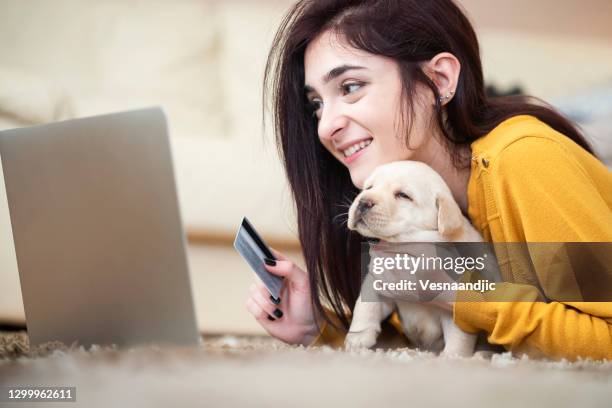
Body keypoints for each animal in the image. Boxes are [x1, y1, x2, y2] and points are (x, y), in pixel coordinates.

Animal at [344, 161, 482, 356]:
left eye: (403, 195)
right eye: (369, 187)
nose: (363, 202)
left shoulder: (454, 306)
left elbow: (459, 335)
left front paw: (452, 357)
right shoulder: (378, 281)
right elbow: (365, 305)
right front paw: (357, 338)